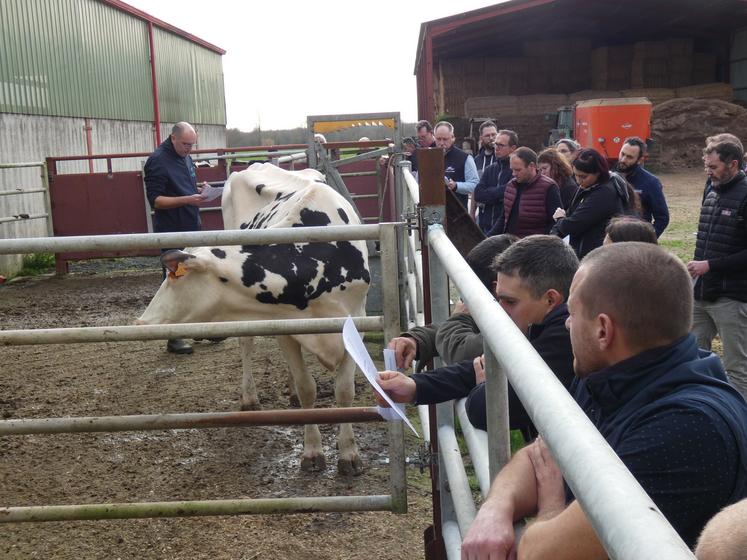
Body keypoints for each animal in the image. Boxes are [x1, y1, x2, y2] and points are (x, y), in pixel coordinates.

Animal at [137, 164, 372, 474]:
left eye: (176, 276)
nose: (141, 322)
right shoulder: (285, 327)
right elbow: (307, 388)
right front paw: (312, 451)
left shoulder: (356, 321)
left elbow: (344, 392)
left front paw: (349, 454)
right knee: (247, 343)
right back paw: (250, 398)